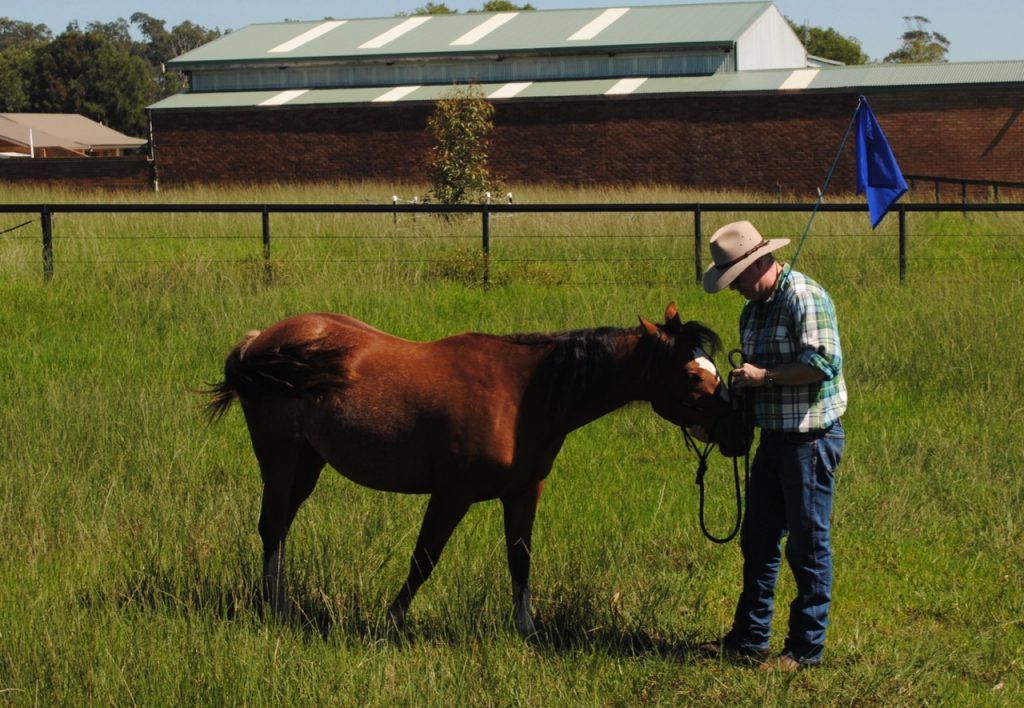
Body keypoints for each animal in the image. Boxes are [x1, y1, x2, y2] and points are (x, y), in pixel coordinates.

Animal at [207, 301, 753, 639]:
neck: (522, 395)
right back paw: (278, 611)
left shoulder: (524, 493)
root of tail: (259, 342)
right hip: (281, 459)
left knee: (279, 528)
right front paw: (391, 622)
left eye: (713, 368)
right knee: (272, 528)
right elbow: (424, 560)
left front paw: (527, 631)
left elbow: (520, 560)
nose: (740, 432)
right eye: (692, 375)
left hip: (307, 462)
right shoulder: (451, 495)